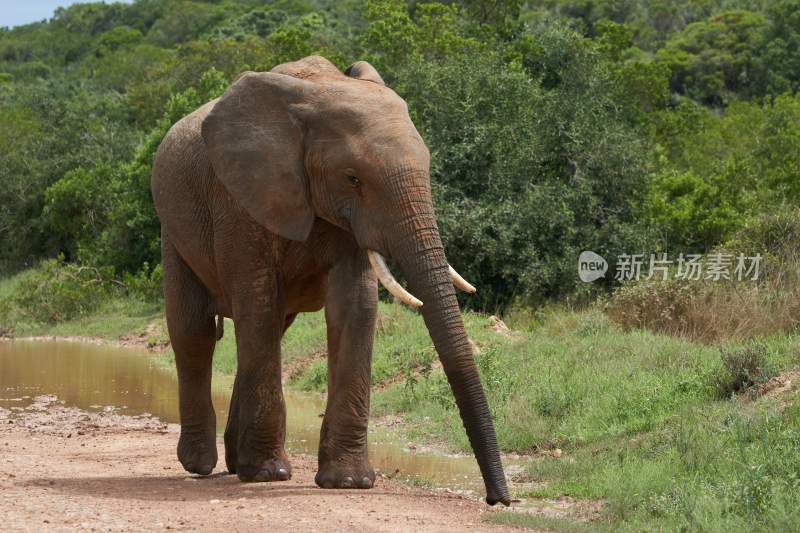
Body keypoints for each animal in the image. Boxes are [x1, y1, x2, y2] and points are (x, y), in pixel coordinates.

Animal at [149, 56, 510, 504]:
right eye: (353, 178)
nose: (498, 499)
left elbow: (355, 304)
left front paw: (348, 482)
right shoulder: (239, 200)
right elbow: (257, 301)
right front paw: (268, 474)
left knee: (268, 331)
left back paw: (235, 464)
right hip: (172, 227)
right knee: (195, 331)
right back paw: (200, 464)